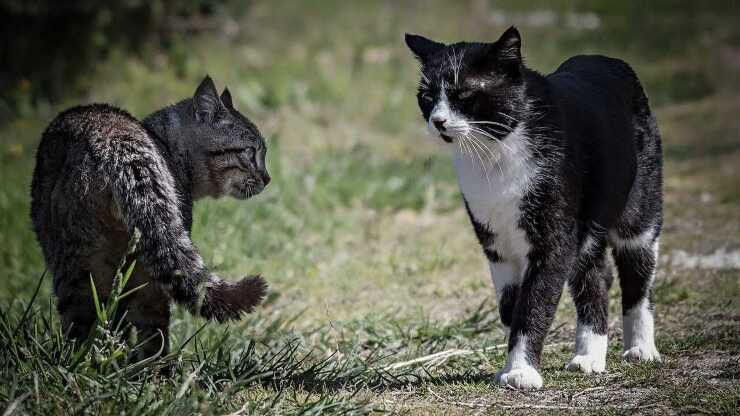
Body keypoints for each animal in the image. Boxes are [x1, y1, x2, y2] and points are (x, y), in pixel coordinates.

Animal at [404, 27, 664, 388]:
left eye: (465, 94)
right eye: (427, 96)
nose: (438, 120)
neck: (495, 154)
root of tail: (609, 60)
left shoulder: (553, 240)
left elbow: (534, 303)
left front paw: (521, 371)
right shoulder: (496, 245)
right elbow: (509, 306)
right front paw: (510, 364)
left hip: (640, 211)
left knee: (637, 273)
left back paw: (641, 349)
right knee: (596, 276)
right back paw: (589, 356)